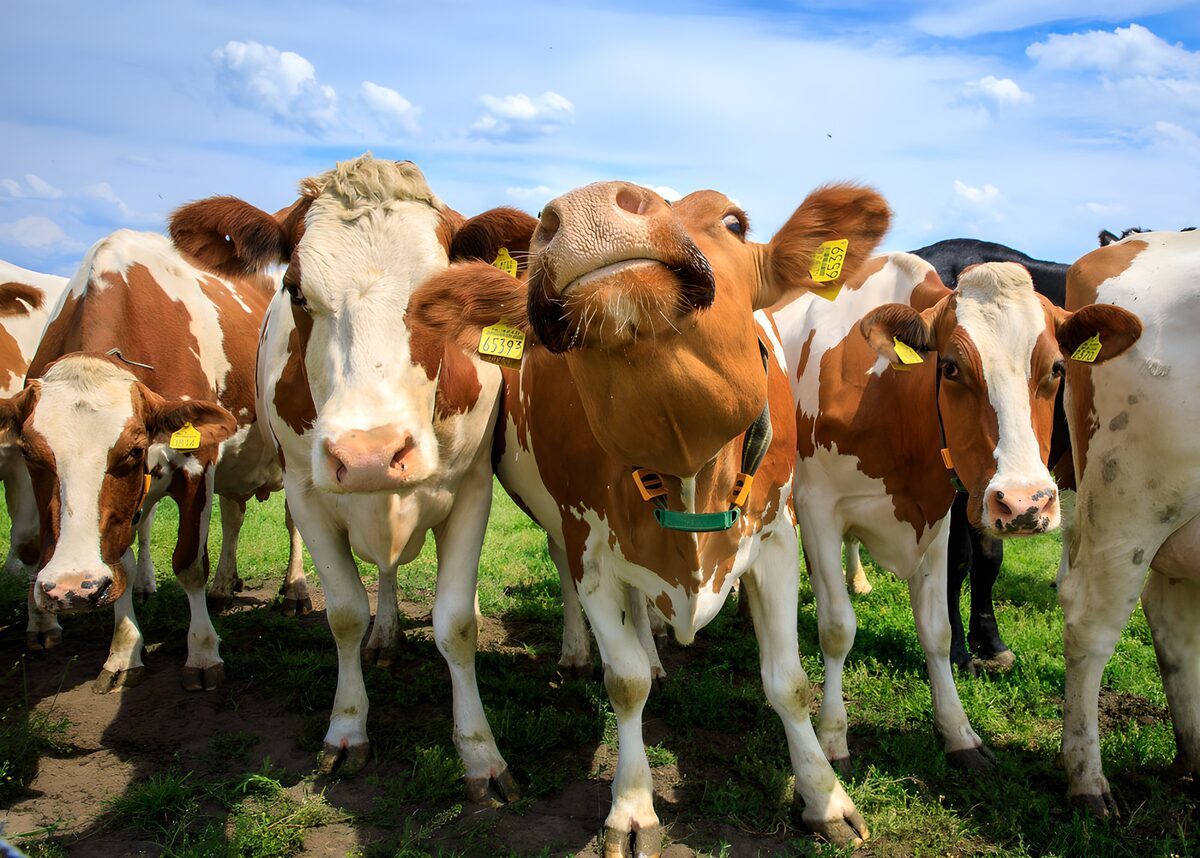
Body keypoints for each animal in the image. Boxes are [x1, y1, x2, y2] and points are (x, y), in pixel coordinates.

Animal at [0, 227, 298, 692]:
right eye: (31, 453)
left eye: (133, 449)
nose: (71, 588)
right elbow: (118, 560)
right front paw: (124, 652)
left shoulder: (197, 464)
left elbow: (189, 562)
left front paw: (202, 653)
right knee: (233, 517)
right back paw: (223, 585)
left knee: (292, 522)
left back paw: (295, 589)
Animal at [408, 180, 893, 850]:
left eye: (733, 222)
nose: (587, 206)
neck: (686, 471)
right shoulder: (590, 548)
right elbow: (625, 682)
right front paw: (633, 807)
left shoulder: (774, 538)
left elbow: (788, 682)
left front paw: (826, 798)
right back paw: (583, 653)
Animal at [774, 255, 1141, 773]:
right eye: (949, 367)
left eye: (1056, 367)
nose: (1025, 501)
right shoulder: (818, 510)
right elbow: (837, 629)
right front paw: (832, 737)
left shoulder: (938, 516)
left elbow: (937, 629)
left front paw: (957, 732)